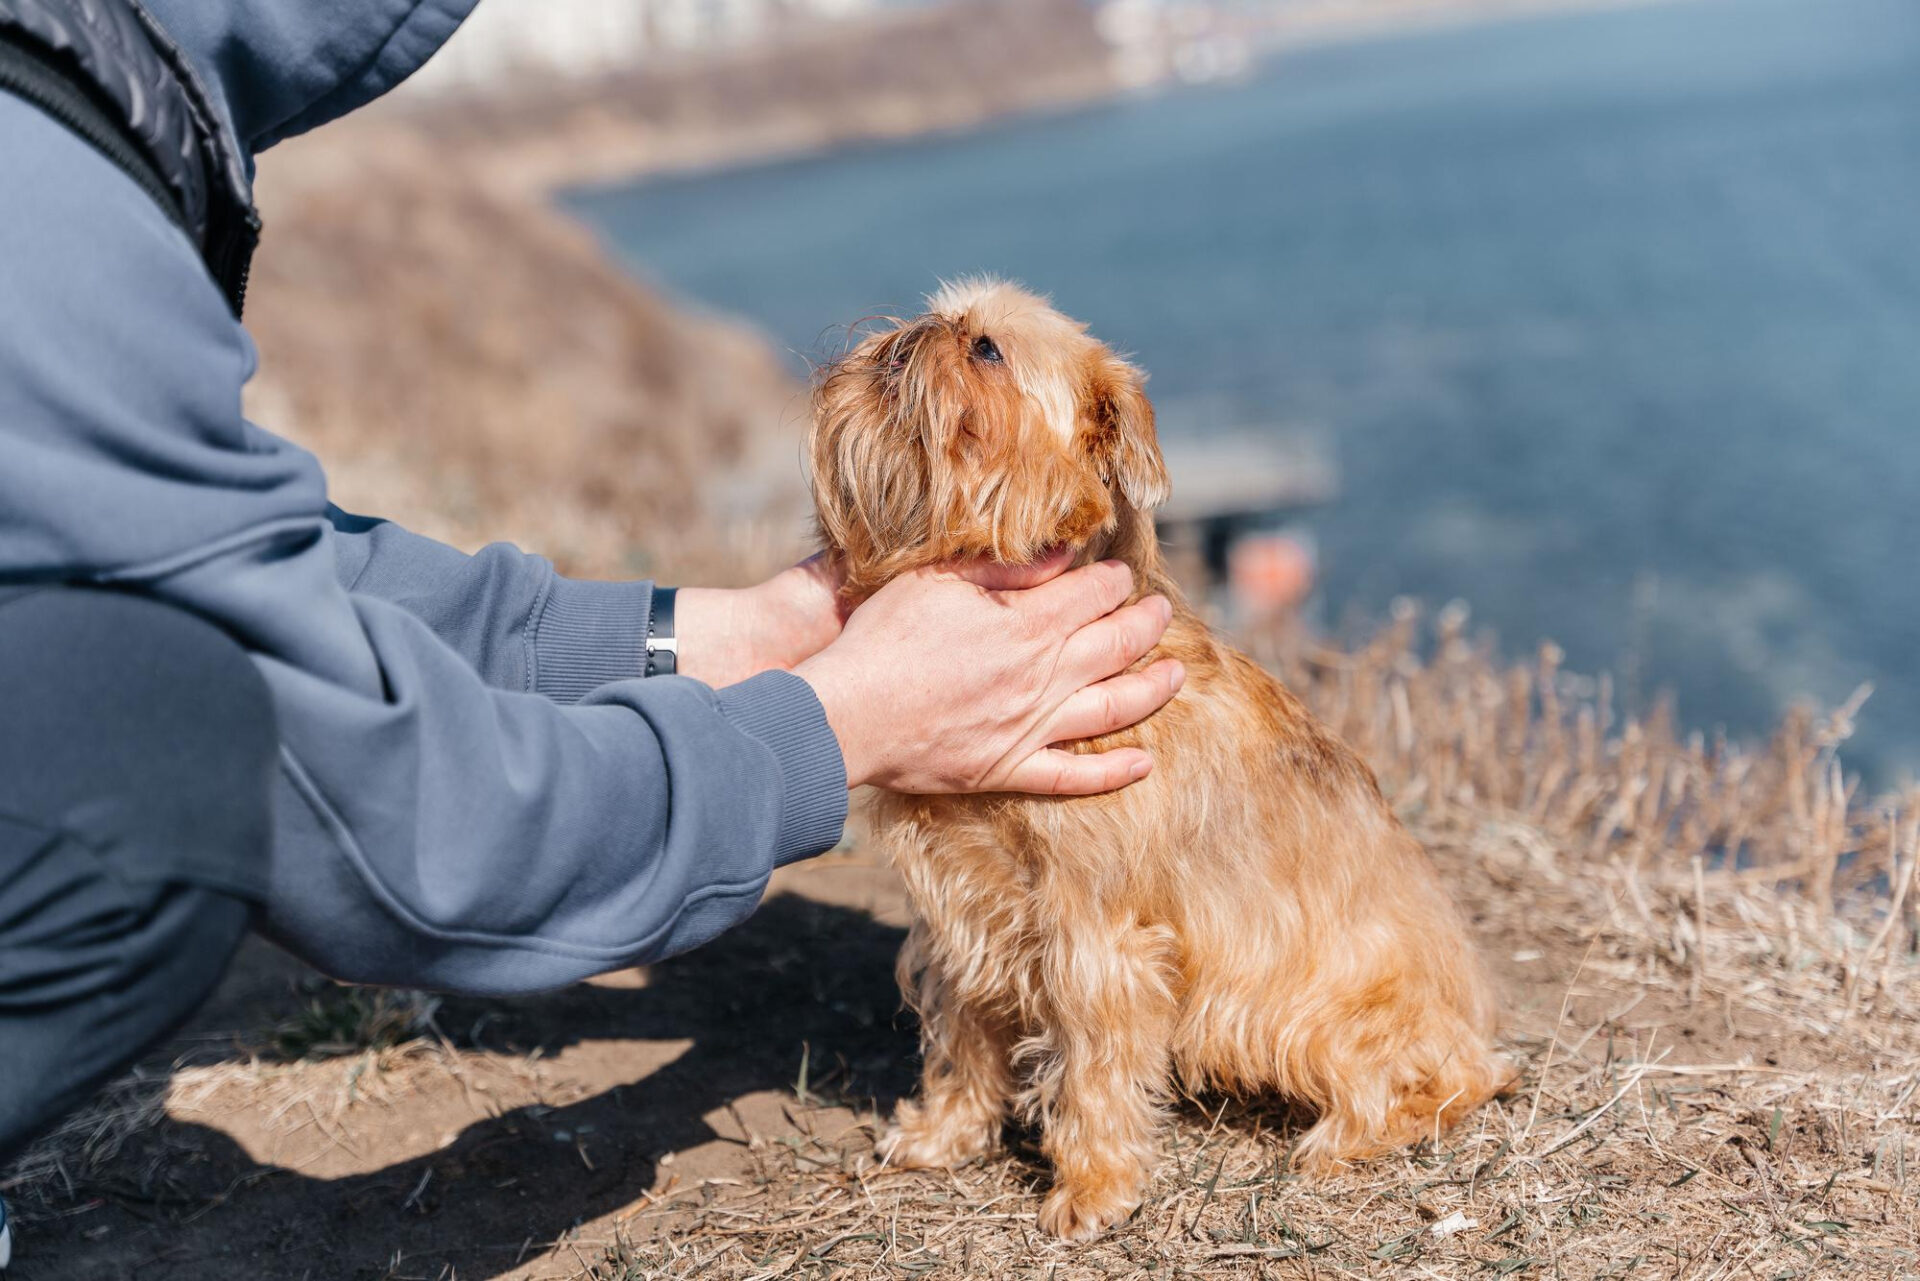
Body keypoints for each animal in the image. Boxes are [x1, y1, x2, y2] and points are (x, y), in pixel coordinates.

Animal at [810, 280, 1512, 1244]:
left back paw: (1349, 1135)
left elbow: (1093, 1065)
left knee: (1449, 1078)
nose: (908, 335)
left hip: (1295, 1009)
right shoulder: (962, 918)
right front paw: (944, 1134)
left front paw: (1096, 1187)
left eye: (985, 348)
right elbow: (963, 1034)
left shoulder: (1090, 932)